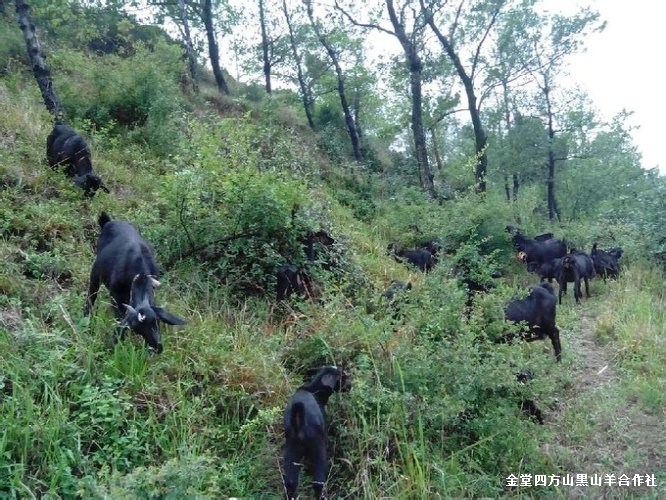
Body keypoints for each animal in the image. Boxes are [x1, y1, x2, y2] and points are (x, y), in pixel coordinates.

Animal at [84, 211, 187, 352]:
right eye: (137, 328)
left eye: (156, 321)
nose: (157, 347)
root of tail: (109, 221)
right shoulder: (115, 297)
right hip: (95, 274)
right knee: (91, 296)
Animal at [282, 366, 350, 498]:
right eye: (342, 376)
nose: (350, 385)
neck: (314, 391)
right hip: (317, 446)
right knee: (318, 481)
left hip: (292, 447)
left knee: (291, 481)